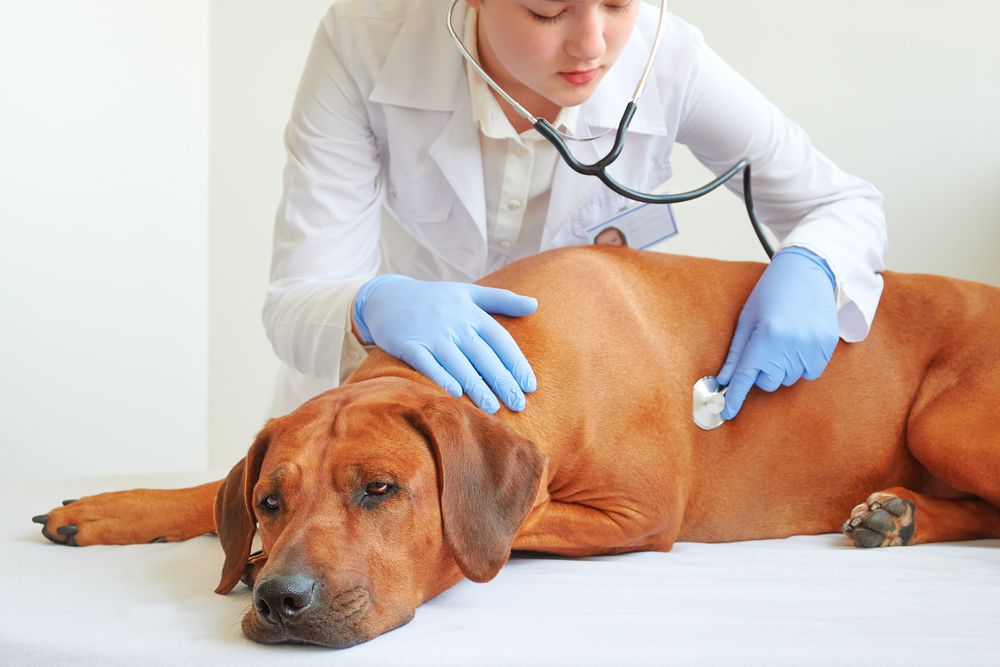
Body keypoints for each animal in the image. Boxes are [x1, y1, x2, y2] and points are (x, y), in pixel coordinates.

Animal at [31, 247, 1000, 648]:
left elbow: (503, 531)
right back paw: (896, 513)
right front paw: (115, 509)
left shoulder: (637, 514)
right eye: (271, 498)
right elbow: (209, 491)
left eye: (381, 489)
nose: (280, 599)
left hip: (944, 421)